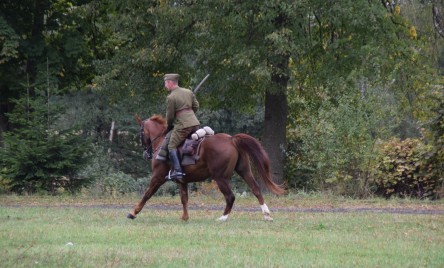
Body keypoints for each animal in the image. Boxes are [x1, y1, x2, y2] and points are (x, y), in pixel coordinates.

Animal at [127, 114, 288, 221]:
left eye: (141, 132)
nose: (146, 153)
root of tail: (231, 139)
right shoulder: (182, 181)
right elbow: (184, 198)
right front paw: (185, 217)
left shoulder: (158, 178)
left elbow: (147, 194)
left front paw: (133, 213)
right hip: (244, 171)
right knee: (256, 189)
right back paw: (266, 215)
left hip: (220, 178)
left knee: (230, 196)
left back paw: (223, 218)